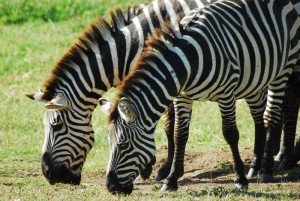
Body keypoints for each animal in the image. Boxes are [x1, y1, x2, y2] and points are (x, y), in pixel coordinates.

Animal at [23, 0, 217, 185]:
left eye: (56, 125)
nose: (48, 175)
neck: (133, 46)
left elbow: (169, 126)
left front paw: (161, 170)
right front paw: (148, 168)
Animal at [101, 0, 300, 195]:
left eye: (124, 145)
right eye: (108, 143)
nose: (111, 187)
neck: (188, 63)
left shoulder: (226, 93)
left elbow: (230, 133)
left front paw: (239, 179)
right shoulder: (182, 97)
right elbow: (179, 134)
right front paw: (171, 180)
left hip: (283, 69)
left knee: (271, 115)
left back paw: (267, 169)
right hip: (254, 79)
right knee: (259, 118)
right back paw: (255, 166)